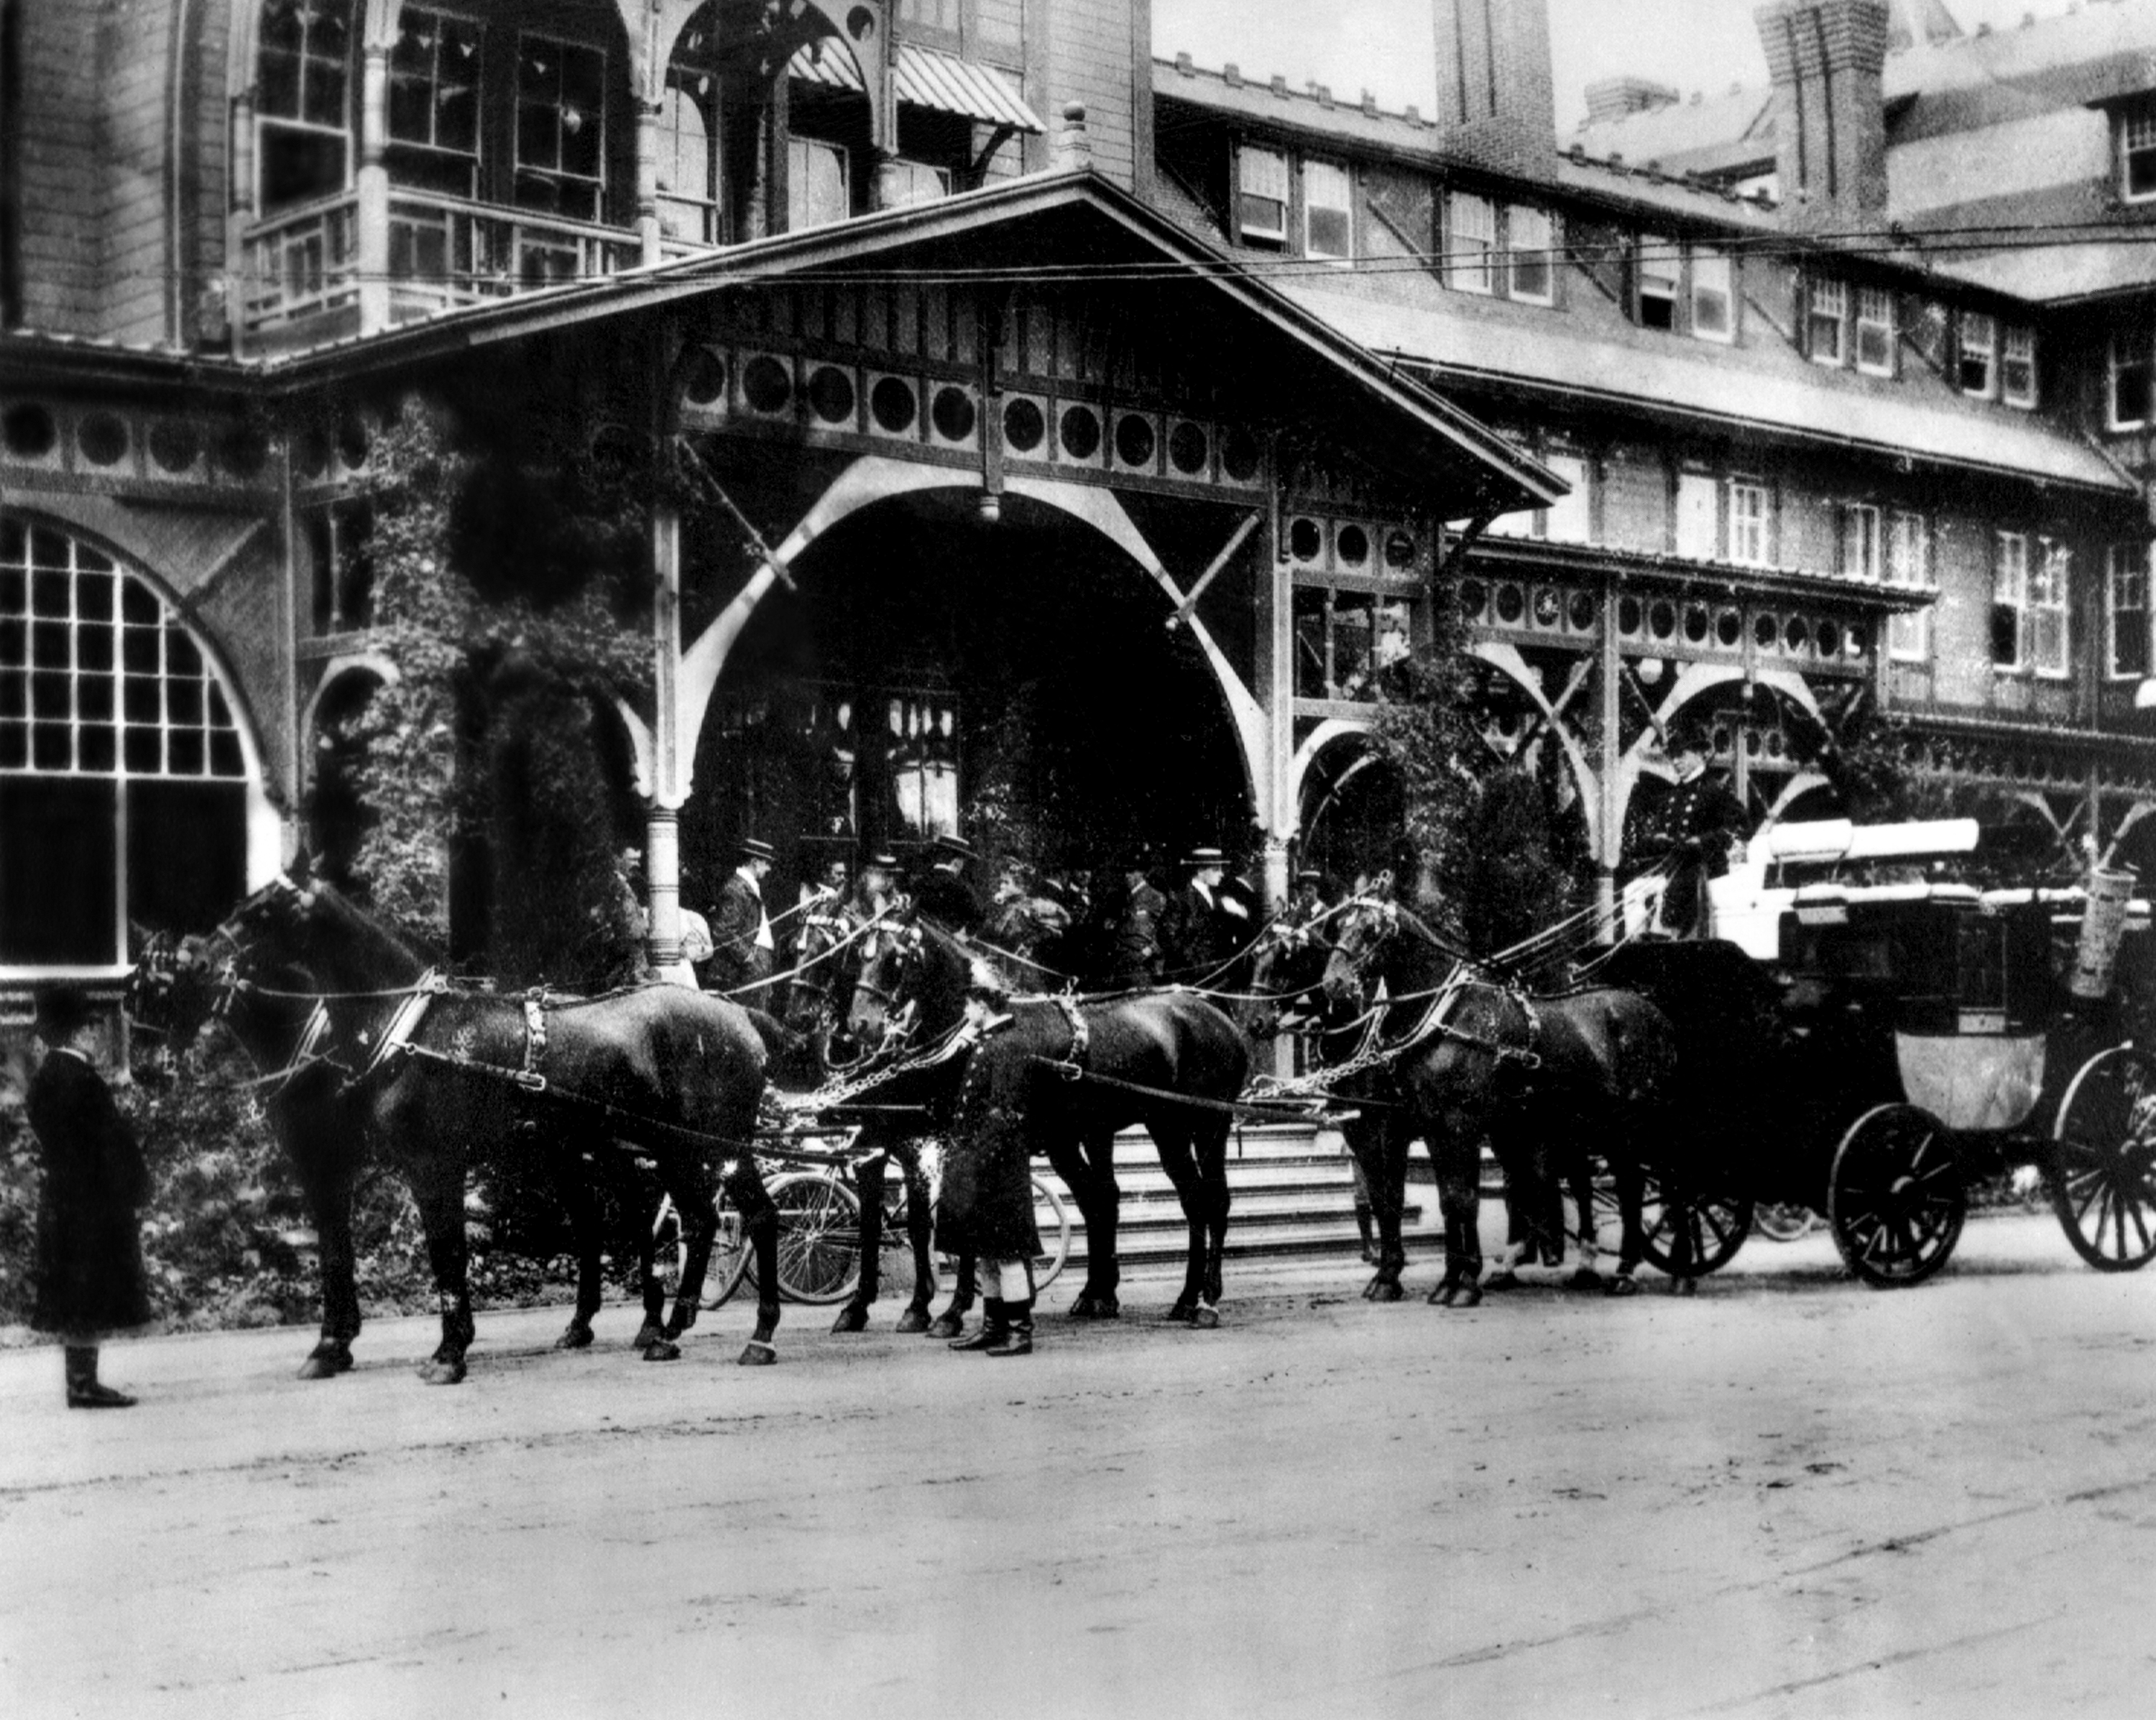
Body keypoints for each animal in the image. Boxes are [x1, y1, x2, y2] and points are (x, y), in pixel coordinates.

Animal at [130, 888, 785, 1388]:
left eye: (258, 913)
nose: (144, 1073)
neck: (402, 1030)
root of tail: (741, 1017)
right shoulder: (334, 1168)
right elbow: (342, 1251)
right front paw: (335, 1346)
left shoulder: (423, 1165)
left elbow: (442, 1253)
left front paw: (443, 1353)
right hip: (642, 1151)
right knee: (678, 1220)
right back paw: (659, 1327)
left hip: (708, 1148)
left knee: (741, 1218)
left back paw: (741, 1333)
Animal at [841, 923, 1250, 1328]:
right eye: (858, 955)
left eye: (897, 958)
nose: (861, 1024)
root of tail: (1223, 1022)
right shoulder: (887, 1144)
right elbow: (883, 1223)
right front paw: (870, 1306)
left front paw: (952, 1310)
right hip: (1119, 1134)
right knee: (1122, 1199)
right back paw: (1110, 1295)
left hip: (1199, 1127)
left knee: (1207, 1201)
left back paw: (1200, 1299)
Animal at [1311, 901, 1682, 1310]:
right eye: (1339, 928)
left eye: (1372, 930)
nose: (1335, 982)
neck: (1447, 1019)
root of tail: (1656, 1014)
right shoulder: (1427, 1127)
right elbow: (1438, 1201)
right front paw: (1438, 1280)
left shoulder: (1454, 1125)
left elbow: (1462, 1200)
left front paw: (1464, 1282)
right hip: (1576, 1126)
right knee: (1588, 1185)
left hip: (1628, 1126)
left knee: (1635, 1185)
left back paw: (1631, 1271)